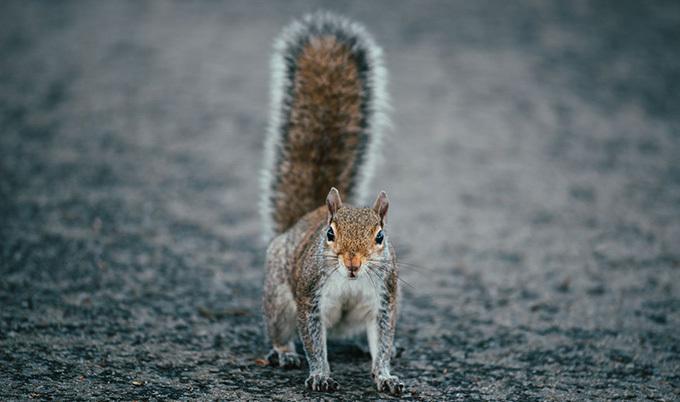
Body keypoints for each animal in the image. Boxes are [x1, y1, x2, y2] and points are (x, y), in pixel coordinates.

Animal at [260, 12, 404, 395]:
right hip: (279, 299)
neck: (351, 281)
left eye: (380, 237)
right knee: (281, 329)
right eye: (329, 234)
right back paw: (284, 352)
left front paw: (385, 375)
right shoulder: (310, 297)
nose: (353, 263)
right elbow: (313, 340)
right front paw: (320, 374)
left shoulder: (383, 301)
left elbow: (382, 339)